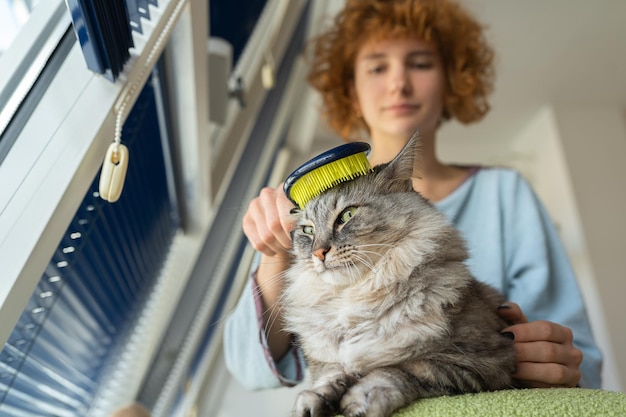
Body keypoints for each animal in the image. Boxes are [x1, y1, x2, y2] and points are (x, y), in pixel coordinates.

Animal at [286, 135, 516, 414]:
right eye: (307, 231)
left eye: (347, 215)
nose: (318, 253)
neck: (359, 296)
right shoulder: (327, 361)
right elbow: (331, 375)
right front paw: (314, 402)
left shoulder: (486, 362)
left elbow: (394, 368)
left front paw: (362, 400)